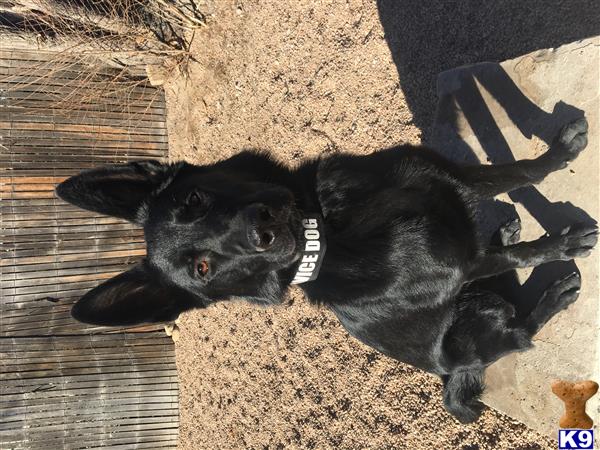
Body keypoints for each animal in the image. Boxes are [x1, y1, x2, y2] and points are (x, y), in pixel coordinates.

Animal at [56, 116, 596, 422]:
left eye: (195, 199)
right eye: (203, 268)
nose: (261, 232)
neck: (330, 227)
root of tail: (455, 372)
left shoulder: (446, 177)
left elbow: (515, 172)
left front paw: (560, 152)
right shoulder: (464, 262)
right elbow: (524, 245)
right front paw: (564, 242)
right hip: (478, 317)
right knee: (520, 327)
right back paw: (557, 293)